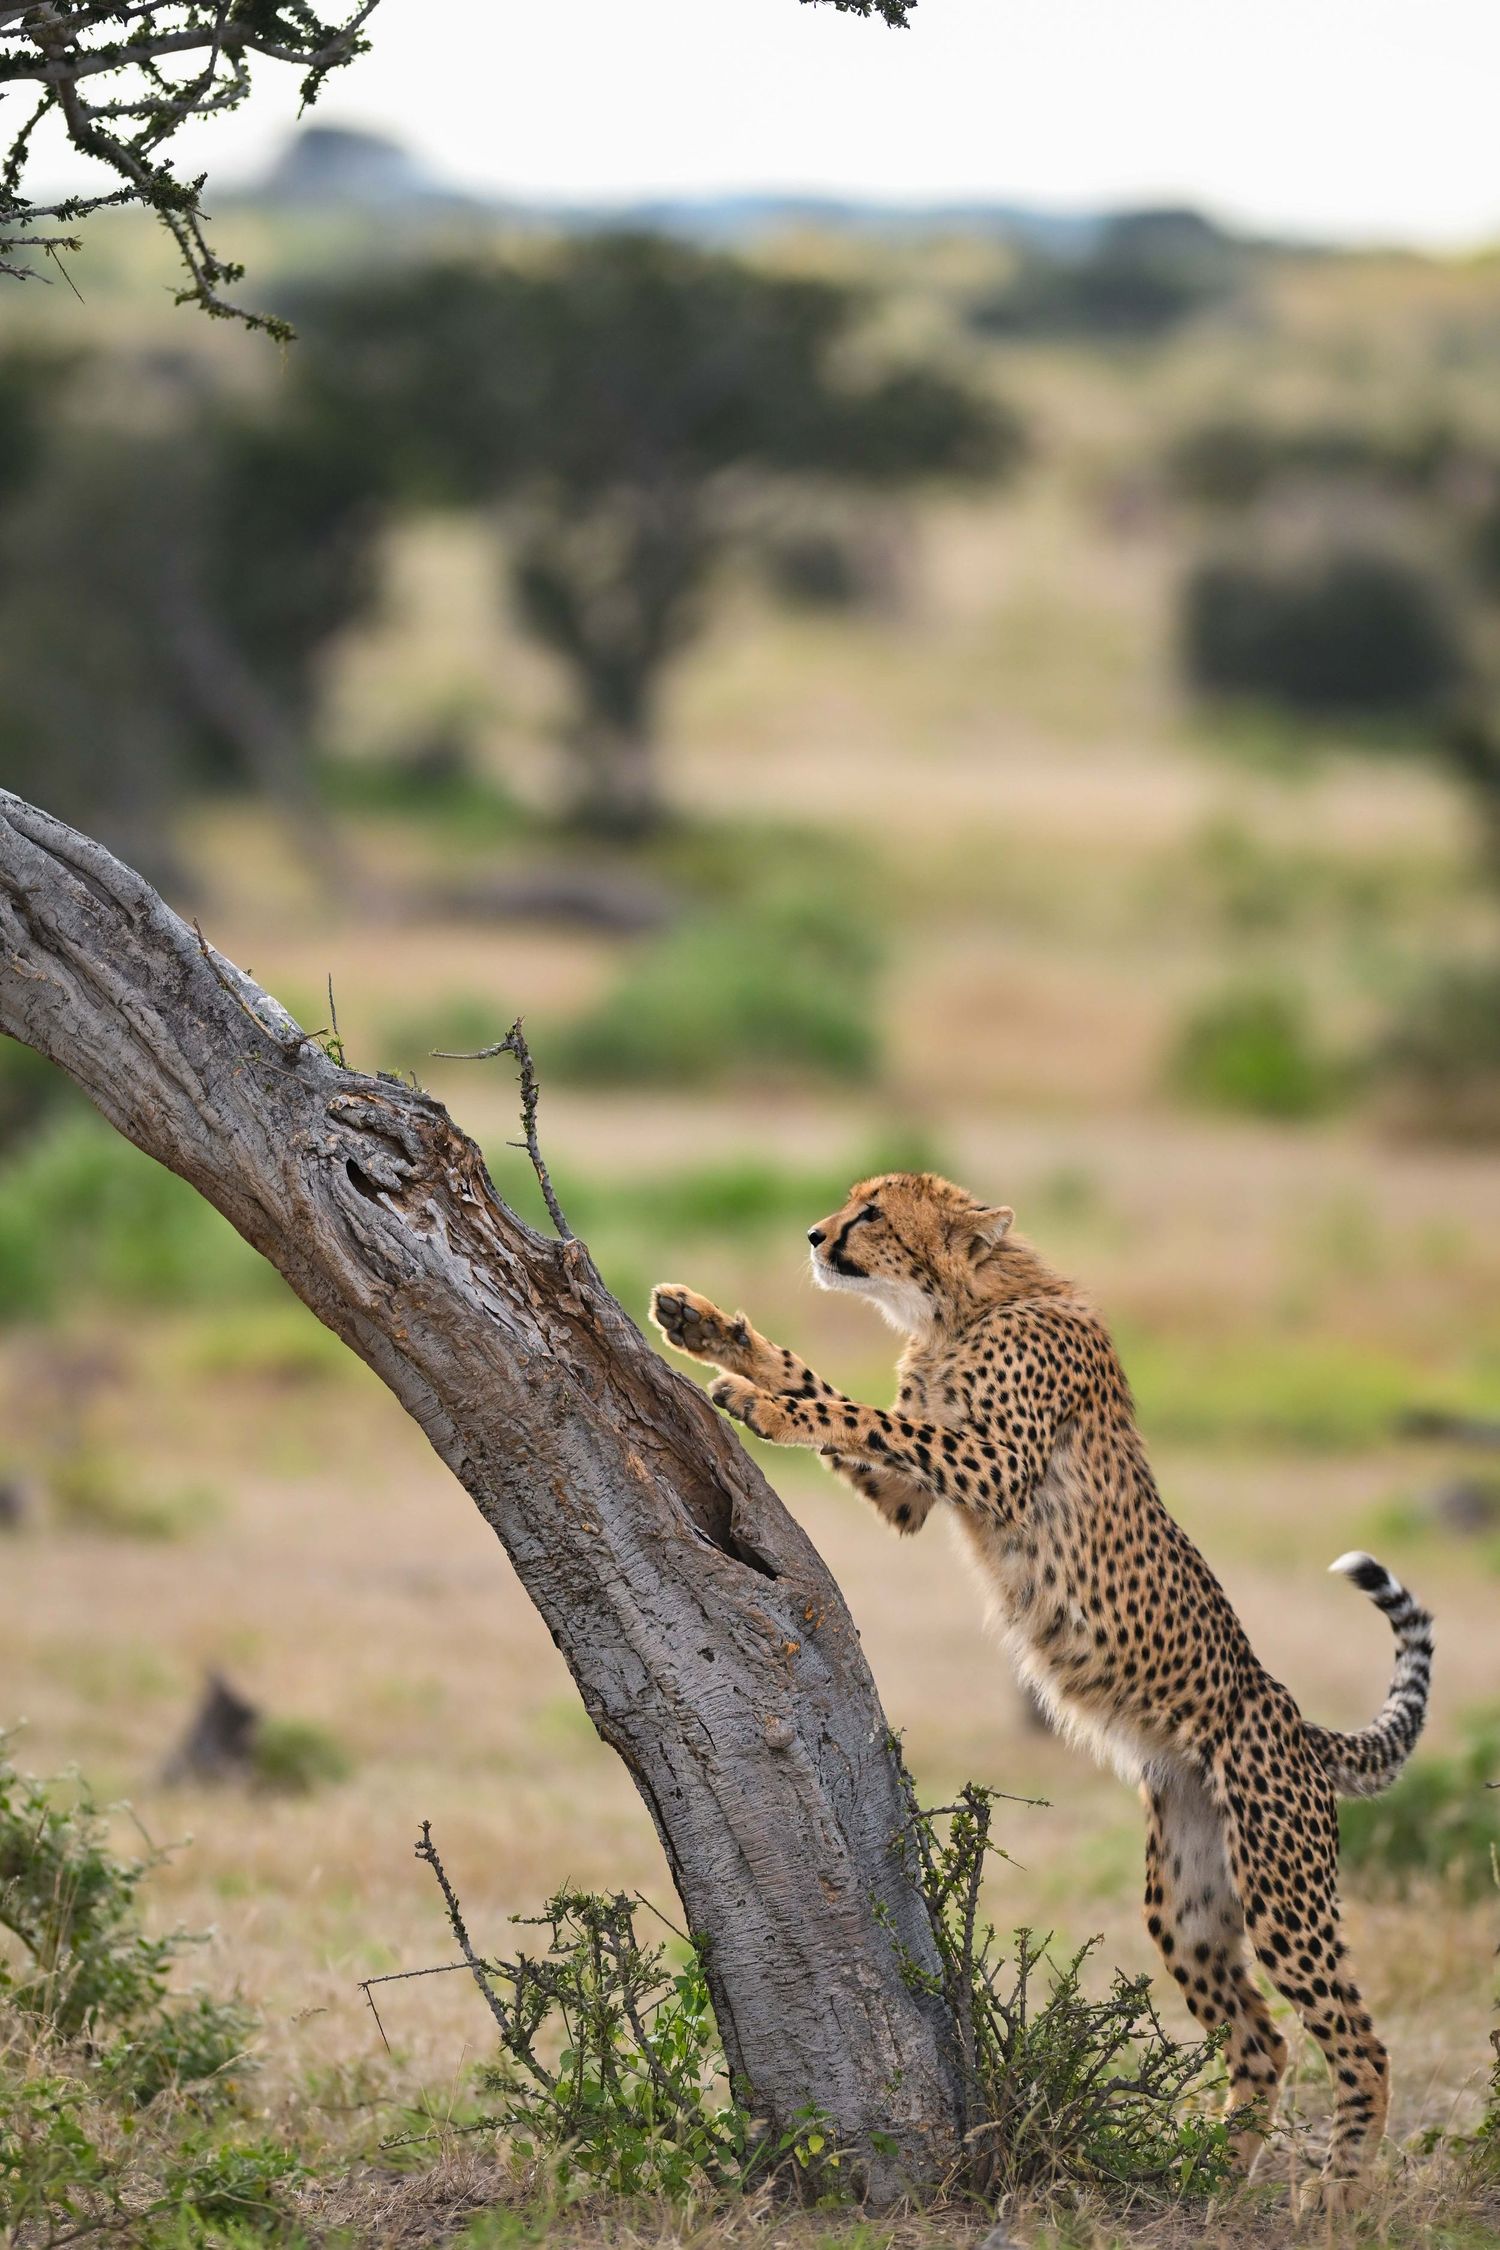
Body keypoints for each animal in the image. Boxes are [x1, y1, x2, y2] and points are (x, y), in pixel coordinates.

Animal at [650, 1169, 1434, 2211]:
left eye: (873, 1212)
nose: (815, 1235)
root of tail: (1296, 1722)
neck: (960, 1306)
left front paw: (756, 1400)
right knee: (1261, 2039)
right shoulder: (914, 1493)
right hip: (1188, 1905)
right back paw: (1208, 2176)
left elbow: (853, 1409)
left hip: (1282, 1889)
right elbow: (828, 1386)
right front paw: (710, 1330)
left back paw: (1338, 2191)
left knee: (1360, 2040)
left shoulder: (991, 1462)